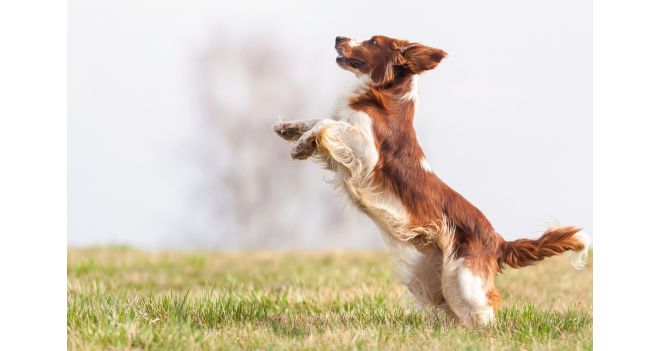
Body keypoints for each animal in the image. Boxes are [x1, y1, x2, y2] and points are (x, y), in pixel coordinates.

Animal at [272, 35, 588, 328]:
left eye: (373, 41)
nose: (339, 37)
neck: (384, 95)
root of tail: (498, 242)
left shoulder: (366, 150)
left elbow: (328, 123)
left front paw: (301, 143)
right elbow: (319, 121)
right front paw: (290, 130)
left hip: (465, 279)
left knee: (487, 310)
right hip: (435, 278)